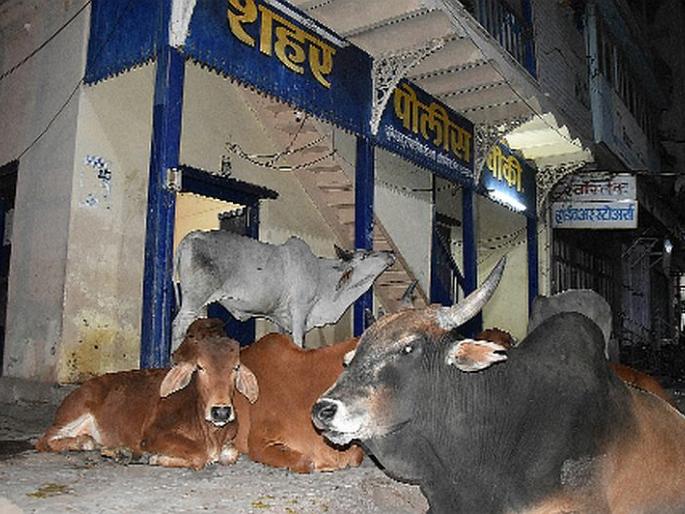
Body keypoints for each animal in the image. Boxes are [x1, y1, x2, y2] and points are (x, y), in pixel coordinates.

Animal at [36, 319, 259, 470]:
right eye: (200, 367)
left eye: (236, 367)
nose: (221, 412)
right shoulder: (154, 434)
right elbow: (200, 454)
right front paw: (154, 457)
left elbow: (230, 454)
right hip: (74, 412)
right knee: (44, 440)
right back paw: (89, 443)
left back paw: (112, 449)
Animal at [172, 230, 395, 349]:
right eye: (364, 256)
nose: (390, 253)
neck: (322, 277)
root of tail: (191, 236)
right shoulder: (299, 310)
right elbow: (298, 341)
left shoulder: (280, 317)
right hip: (193, 299)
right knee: (178, 326)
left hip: (202, 305)